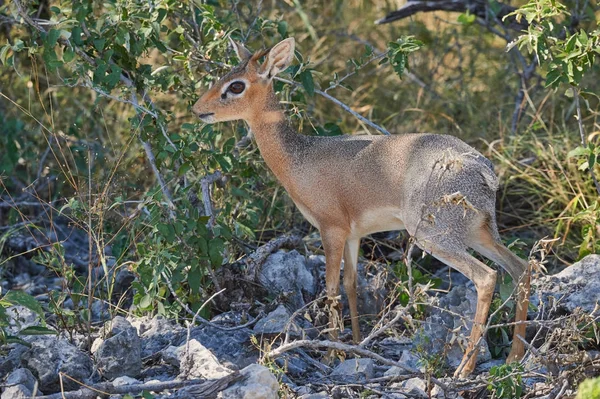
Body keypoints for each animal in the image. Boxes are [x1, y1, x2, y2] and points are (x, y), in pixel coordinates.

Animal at [192, 37, 528, 378]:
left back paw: (465, 367)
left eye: (236, 86)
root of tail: (483, 168)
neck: (299, 158)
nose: (198, 110)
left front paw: (331, 354)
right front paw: (354, 344)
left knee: (486, 277)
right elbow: (351, 284)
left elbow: (330, 288)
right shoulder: (354, 235)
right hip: (478, 234)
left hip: (435, 237)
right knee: (521, 268)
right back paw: (514, 357)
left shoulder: (331, 229)